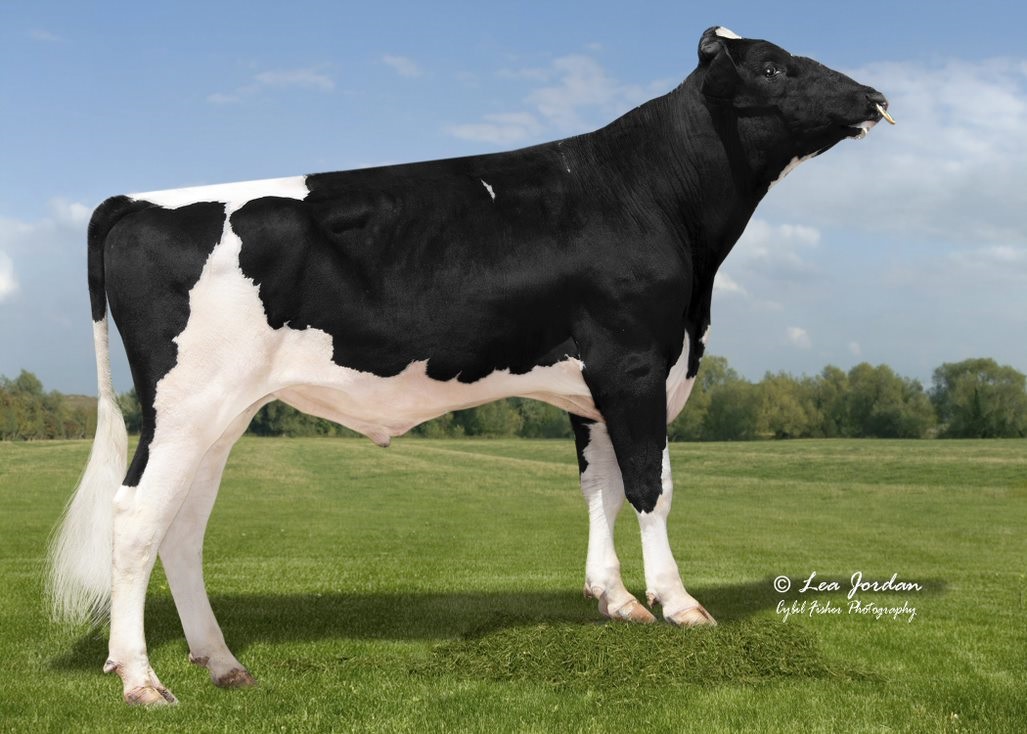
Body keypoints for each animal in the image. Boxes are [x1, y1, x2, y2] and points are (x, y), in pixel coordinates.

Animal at [49, 26, 890, 705]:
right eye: (773, 67)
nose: (875, 96)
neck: (655, 199)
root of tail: (138, 200)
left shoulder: (590, 387)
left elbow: (599, 487)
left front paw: (613, 599)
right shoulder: (636, 366)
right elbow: (651, 486)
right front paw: (677, 604)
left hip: (220, 415)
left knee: (182, 526)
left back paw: (221, 663)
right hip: (186, 406)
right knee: (135, 518)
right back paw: (141, 679)